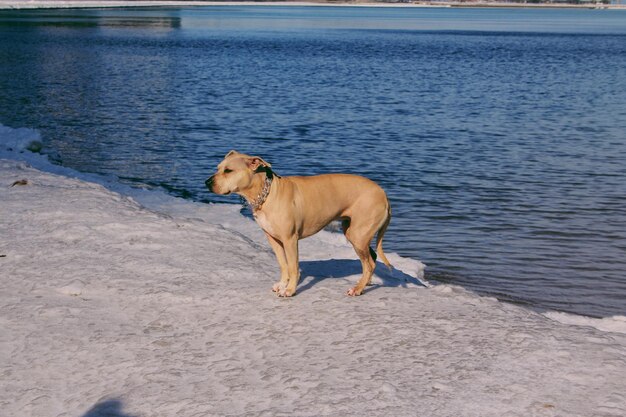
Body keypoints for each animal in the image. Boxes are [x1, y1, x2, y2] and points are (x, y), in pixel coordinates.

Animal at [205, 150, 390, 296]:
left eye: (228, 170)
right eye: (218, 168)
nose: (206, 182)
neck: (267, 194)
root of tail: (383, 193)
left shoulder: (290, 240)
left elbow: (293, 267)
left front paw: (290, 290)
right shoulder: (273, 239)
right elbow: (283, 264)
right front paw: (282, 284)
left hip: (358, 235)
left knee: (369, 263)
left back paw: (357, 289)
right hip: (355, 232)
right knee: (371, 259)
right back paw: (365, 283)